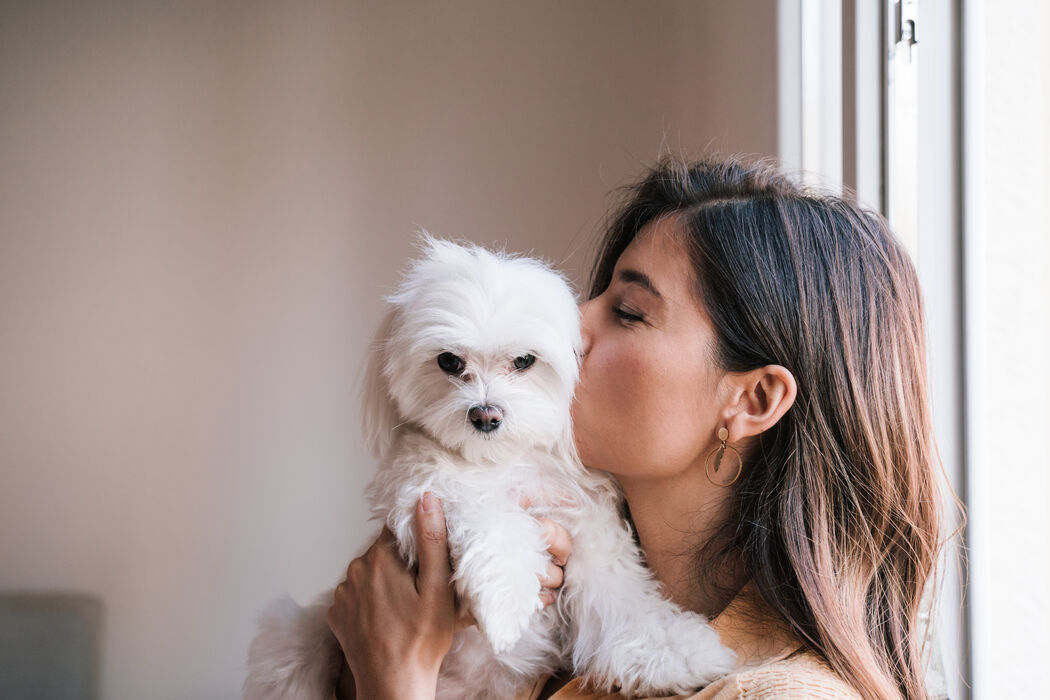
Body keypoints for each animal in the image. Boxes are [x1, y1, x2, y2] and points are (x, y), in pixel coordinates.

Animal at [245, 237, 739, 700]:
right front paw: (505, 603)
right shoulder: (423, 489)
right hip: (294, 634)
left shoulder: (587, 527)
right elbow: (494, 520)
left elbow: (623, 598)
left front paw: (680, 652)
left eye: (524, 361)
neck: (502, 463)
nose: (485, 415)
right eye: (449, 361)